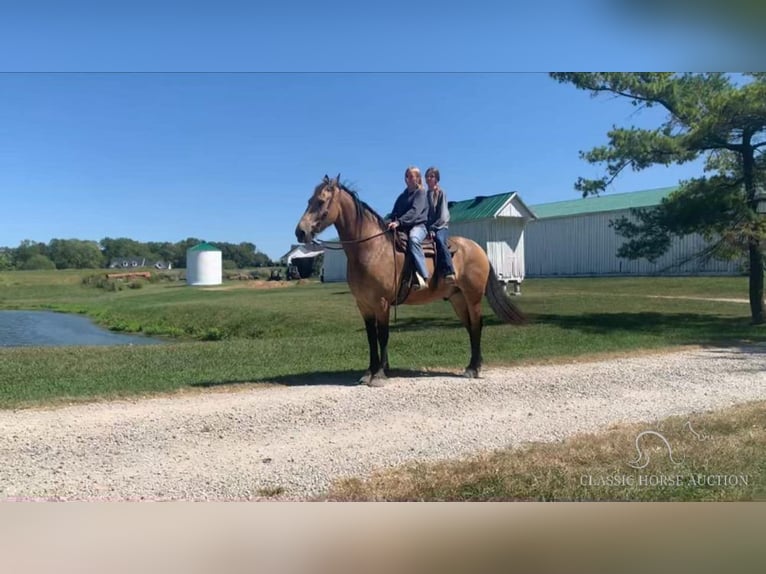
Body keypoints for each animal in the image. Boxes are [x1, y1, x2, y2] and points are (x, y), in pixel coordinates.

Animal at [296, 174, 528, 388]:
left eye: (321, 201)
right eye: (309, 200)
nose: (300, 231)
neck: (371, 249)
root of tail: (478, 248)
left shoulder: (381, 303)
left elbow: (382, 336)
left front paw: (379, 375)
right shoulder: (364, 304)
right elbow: (371, 338)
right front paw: (368, 372)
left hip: (473, 297)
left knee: (477, 325)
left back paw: (474, 368)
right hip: (458, 299)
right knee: (470, 327)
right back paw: (472, 366)